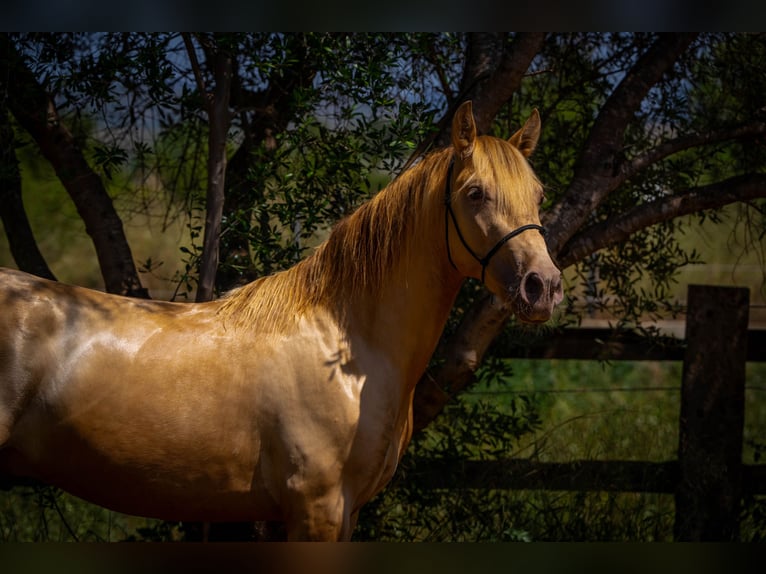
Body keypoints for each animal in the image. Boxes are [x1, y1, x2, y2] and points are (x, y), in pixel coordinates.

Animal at [0, 101, 562, 541]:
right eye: (475, 193)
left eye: (538, 196)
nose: (544, 286)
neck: (345, 345)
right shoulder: (316, 510)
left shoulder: (345, 515)